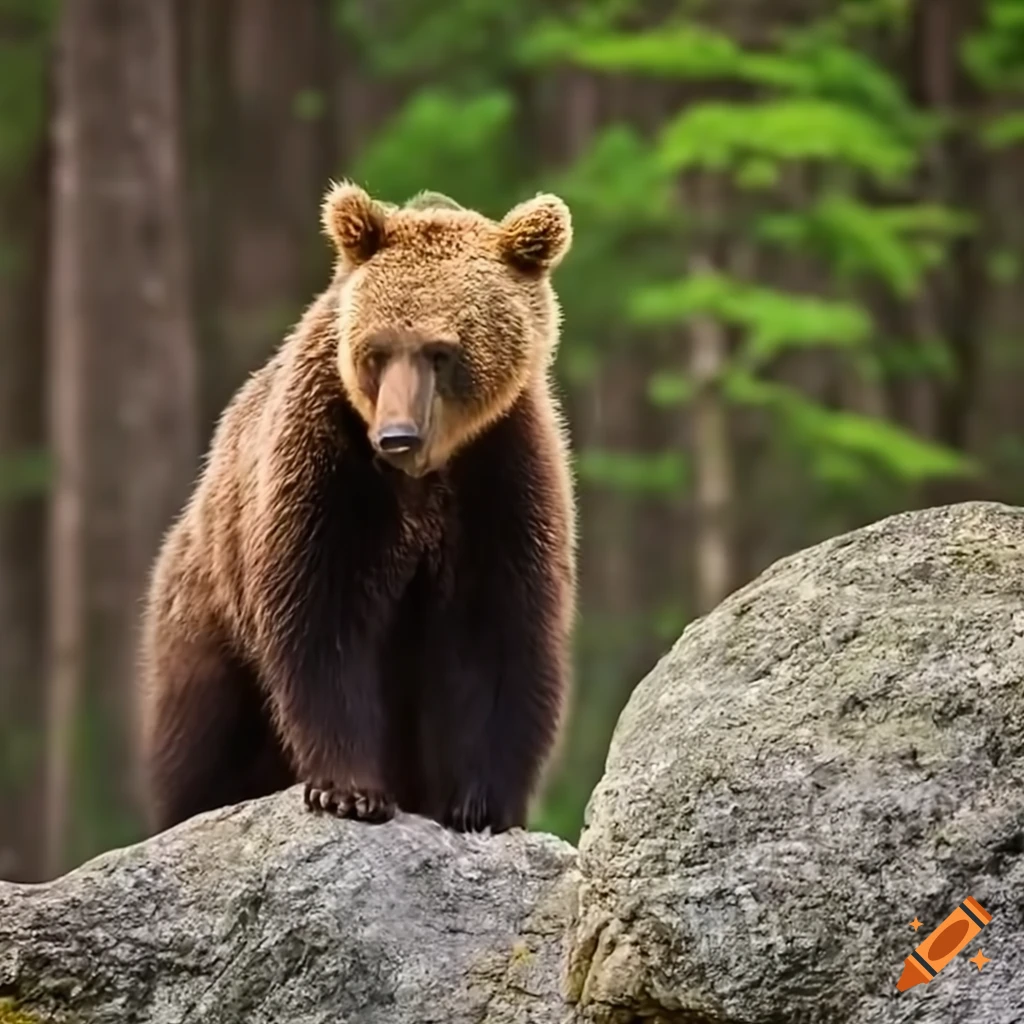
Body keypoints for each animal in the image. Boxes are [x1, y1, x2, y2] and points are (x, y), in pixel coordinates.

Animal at [138, 182, 577, 835]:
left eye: (443, 352)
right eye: (377, 350)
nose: (397, 436)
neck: (422, 477)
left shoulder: (500, 470)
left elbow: (497, 630)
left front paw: (480, 804)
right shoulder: (325, 465)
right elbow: (324, 621)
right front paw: (350, 791)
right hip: (206, 612)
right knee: (202, 739)